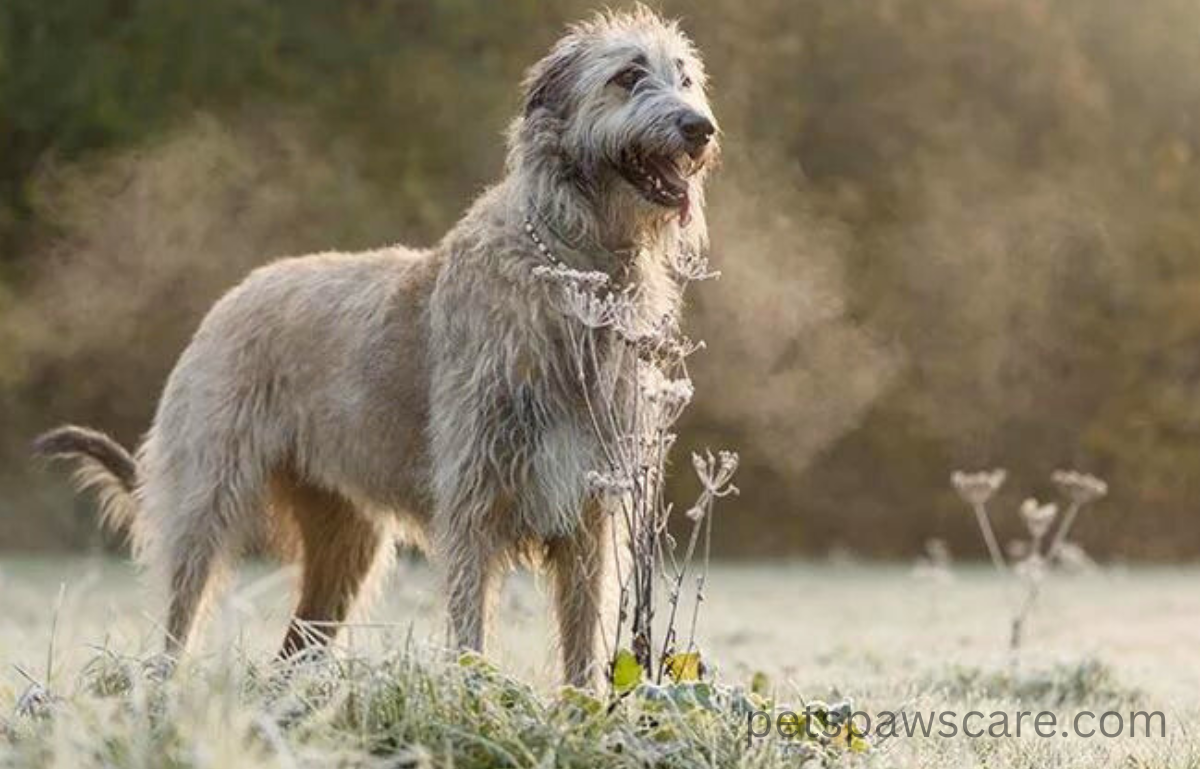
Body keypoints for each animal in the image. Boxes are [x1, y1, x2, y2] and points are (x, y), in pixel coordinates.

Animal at [32, 8, 715, 686]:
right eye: (628, 75)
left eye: (684, 77)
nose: (700, 128)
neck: (576, 270)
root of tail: (229, 300)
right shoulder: (473, 500)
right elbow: (470, 625)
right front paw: (473, 694)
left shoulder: (589, 511)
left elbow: (583, 639)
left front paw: (580, 706)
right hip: (207, 494)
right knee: (182, 607)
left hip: (344, 540)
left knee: (297, 645)